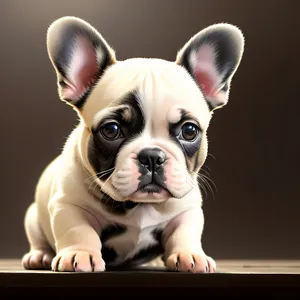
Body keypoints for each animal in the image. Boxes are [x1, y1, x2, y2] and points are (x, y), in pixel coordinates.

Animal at [21, 17, 244, 274]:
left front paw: (190, 255)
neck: (139, 205)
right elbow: (79, 231)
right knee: (39, 239)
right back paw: (40, 256)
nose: (152, 156)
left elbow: (184, 232)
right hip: (32, 217)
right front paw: (80, 254)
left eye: (189, 131)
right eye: (111, 130)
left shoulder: (188, 210)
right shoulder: (69, 205)